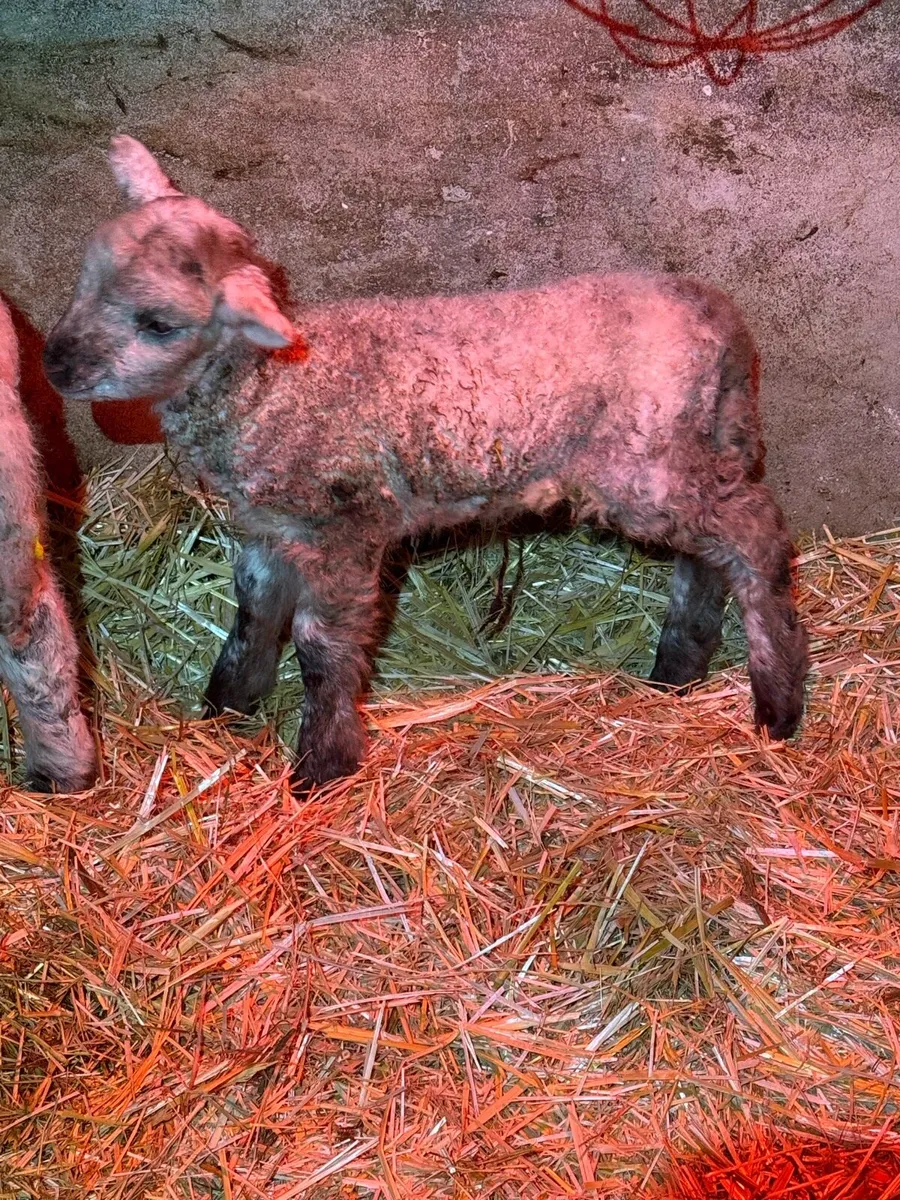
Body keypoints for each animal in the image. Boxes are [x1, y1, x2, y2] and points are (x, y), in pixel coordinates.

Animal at [44, 135, 808, 789]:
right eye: (84, 279)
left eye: (158, 324)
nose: (56, 365)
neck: (271, 386)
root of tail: (721, 322)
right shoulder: (272, 527)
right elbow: (253, 614)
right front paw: (226, 706)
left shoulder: (343, 526)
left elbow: (320, 646)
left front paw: (321, 765)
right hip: (691, 447)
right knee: (711, 553)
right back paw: (679, 669)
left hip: (642, 465)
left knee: (754, 534)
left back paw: (778, 700)